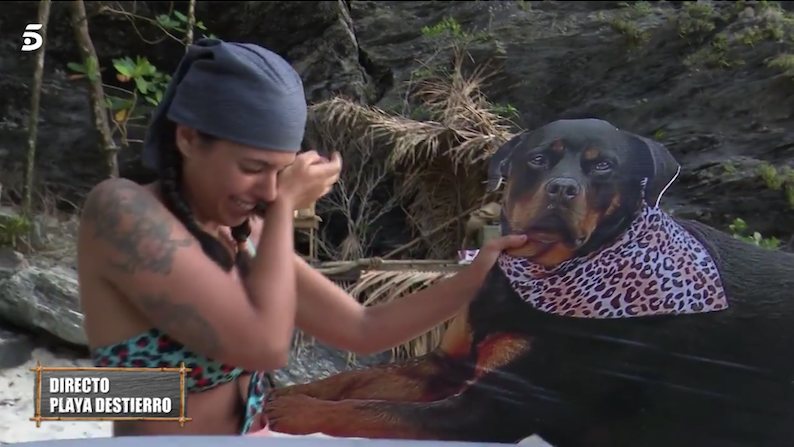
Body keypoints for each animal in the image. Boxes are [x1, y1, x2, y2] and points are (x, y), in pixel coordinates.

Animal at [264, 119, 792, 447]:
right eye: (539, 159)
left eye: (603, 166)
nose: (562, 189)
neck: (538, 274)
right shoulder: (443, 366)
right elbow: (354, 380)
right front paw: (297, 392)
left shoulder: (498, 405)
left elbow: (370, 410)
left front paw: (295, 412)